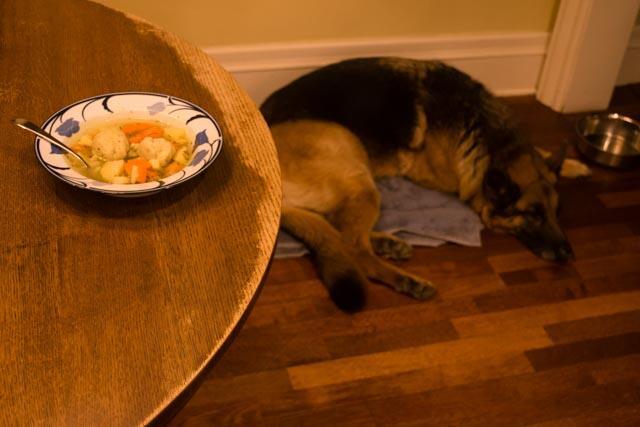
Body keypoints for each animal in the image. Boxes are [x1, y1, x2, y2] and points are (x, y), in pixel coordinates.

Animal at [258, 56, 576, 312]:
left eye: (557, 212)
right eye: (533, 214)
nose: (569, 255)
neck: (489, 135)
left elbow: (541, 150)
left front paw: (575, 163)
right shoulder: (451, 179)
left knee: (339, 230)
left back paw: (389, 243)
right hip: (356, 165)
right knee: (353, 247)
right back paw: (407, 281)